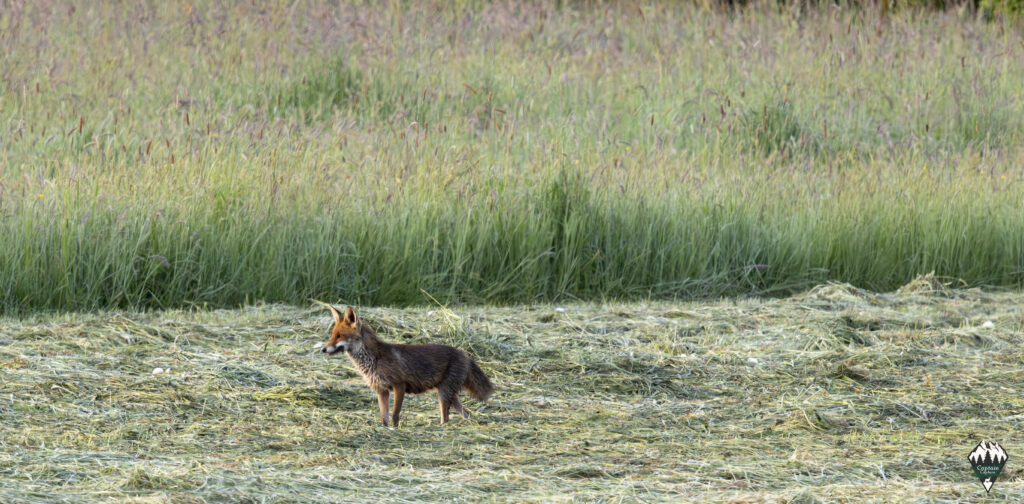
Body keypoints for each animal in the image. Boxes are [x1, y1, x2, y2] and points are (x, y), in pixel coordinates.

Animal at [321, 305, 493, 427]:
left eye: (340, 336)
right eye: (332, 336)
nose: (323, 349)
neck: (374, 359)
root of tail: (464, 354)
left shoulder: (399, 385)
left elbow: (395, 414)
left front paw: (395, 429)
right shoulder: (381, 390)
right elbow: (384, 417)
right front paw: (384, 429)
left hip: (444, 395)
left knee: (446, 418)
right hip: (449, 395)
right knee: (466, 413)